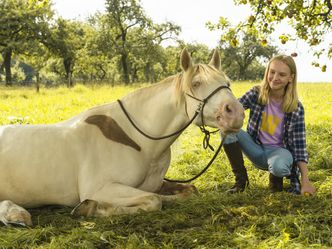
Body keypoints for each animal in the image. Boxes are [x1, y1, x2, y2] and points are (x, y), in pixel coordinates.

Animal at [0, 48, 244, 226]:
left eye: (228, 82)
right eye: (196, 84)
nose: (236, 113)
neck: (137, 139)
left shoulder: (154, 184)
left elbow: (185, 192)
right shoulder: (101, 188)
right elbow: (153, 201)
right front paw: (92, 208)